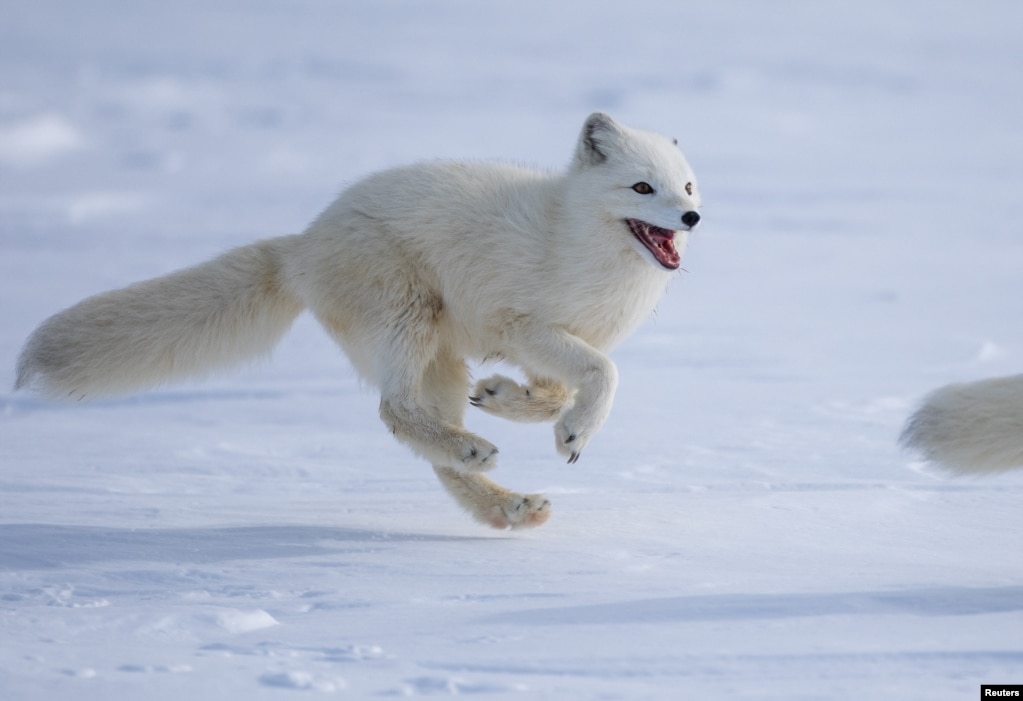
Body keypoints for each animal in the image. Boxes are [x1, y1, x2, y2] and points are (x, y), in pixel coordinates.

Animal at [18, 112, 703, 528]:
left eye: (688, 187)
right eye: (643, 189)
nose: (692, 218)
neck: (572, 240)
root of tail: (303, 243)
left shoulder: (543, 343)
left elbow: (558, 388)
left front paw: (513, 400)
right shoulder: (521, 322)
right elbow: (604, 373)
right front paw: (575, 432)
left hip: (440, 357)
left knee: (428, 447)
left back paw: (505, 504)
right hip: (409, 316)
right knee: (393, 411)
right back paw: (475, 454)